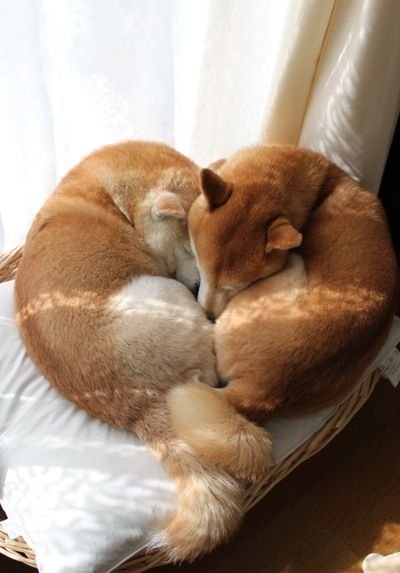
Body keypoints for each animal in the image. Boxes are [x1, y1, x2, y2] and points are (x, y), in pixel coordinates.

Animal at [190, 143, 396, 420]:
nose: (209, 315)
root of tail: (264, 396)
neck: (320, 187)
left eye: (237, 286)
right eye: (202, 270)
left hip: (294, 266)